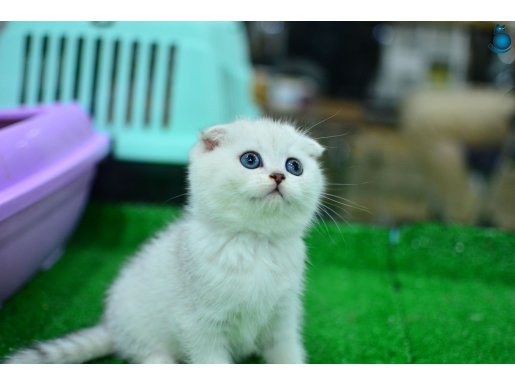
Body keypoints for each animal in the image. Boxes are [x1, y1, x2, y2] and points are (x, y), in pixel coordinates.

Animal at [4, 118, 324, 364]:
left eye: (294, 166)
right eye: (250, 159)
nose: (279, 175)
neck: (254, 243)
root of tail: (112, 328)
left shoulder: (283, 317)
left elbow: (288, 355)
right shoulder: (199, 326)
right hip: (146, 335)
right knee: (150, 358)